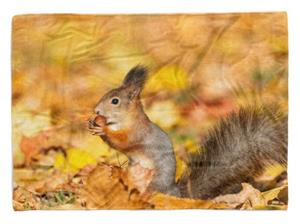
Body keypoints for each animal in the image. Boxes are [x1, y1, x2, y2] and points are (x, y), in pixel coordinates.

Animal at [88, 65, 288, 200]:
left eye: (115, 101)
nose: (96, 110)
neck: (125, 120)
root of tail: (174, 192)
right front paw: (93, 125)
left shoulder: (138, 133)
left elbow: (124, 141)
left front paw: (102, 129)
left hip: (154, 181)